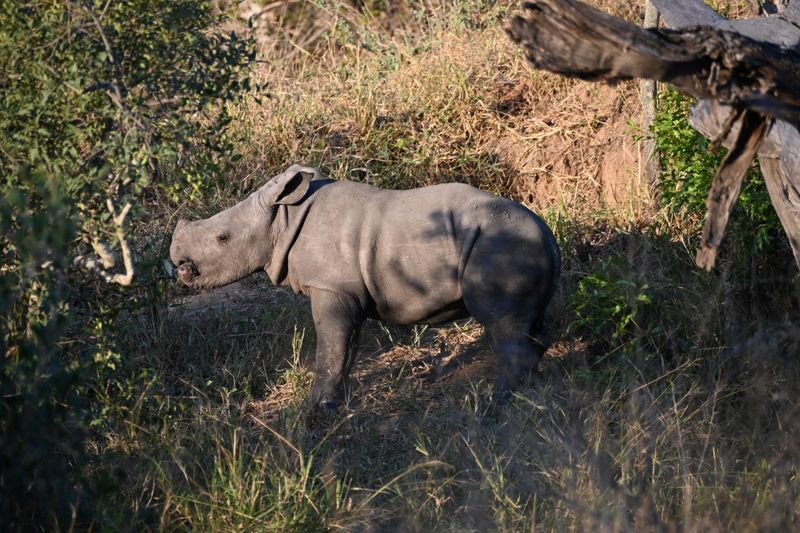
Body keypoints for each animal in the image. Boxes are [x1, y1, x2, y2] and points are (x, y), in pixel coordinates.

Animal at [170, 164, 561, 411]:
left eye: (222, 238)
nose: (179, 264)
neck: (283, 220)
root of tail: (546, 232)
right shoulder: (347, 291)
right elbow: (345, 348)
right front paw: (335, 402)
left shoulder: (331, 288)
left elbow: (331, 346)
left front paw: (319, 407)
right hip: (515, 241)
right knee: (526, 324)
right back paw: (531, 391)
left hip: (500, 242)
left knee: (502, 324)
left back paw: (498, 403)